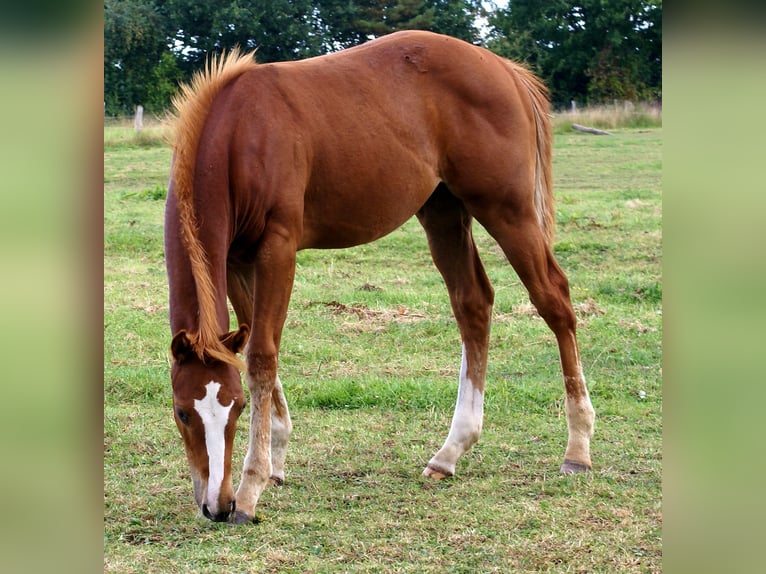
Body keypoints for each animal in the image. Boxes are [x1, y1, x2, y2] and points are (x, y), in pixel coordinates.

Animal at [164, 30, 595, 524]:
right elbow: (257, 346)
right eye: (181, 411)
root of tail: (505, 69)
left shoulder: (277, 248)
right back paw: (450, 452)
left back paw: (578, 450)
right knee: (473, 304)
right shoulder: (237, 261)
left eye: (233, 407)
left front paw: (252, 488)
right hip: (444, 212)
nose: (216, 505)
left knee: (554, 301)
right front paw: (277, 461)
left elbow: (261, 358)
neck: (241, 134)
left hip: (508, 210)